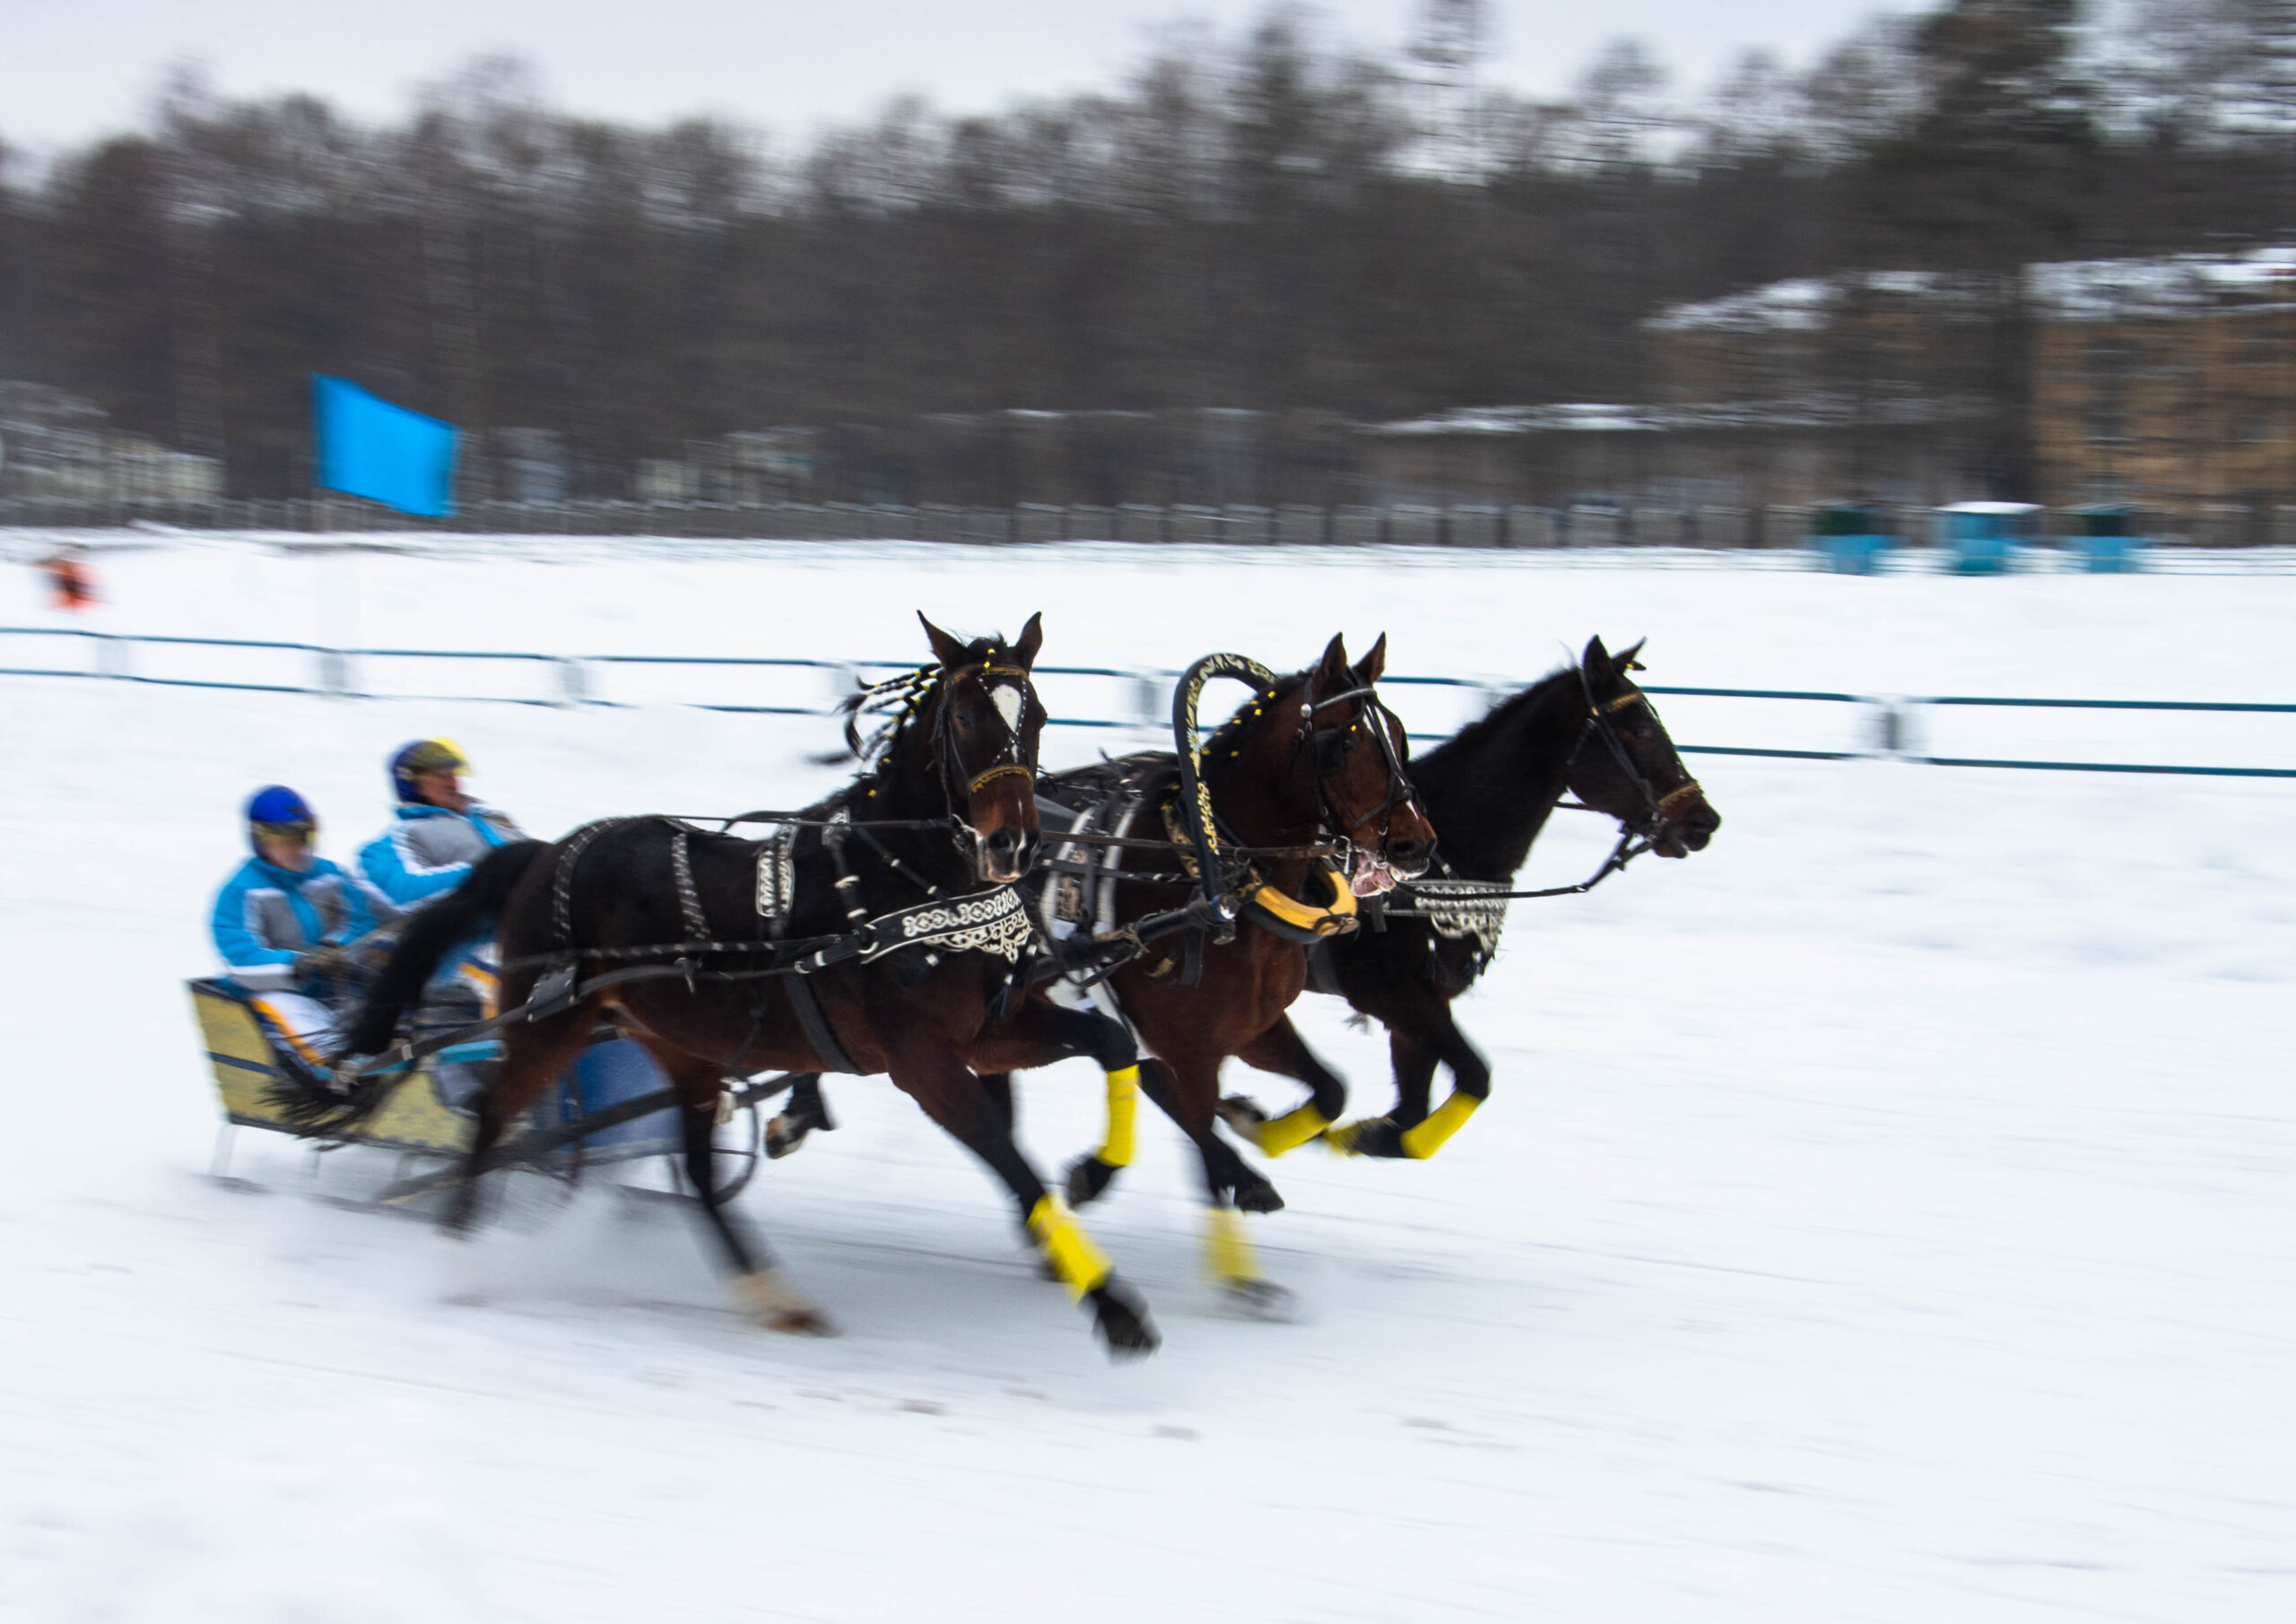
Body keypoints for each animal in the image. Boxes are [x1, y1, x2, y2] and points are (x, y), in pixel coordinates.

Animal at [333, 615, 1166, 1368]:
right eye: (964, 716)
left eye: (1038, 714)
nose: (1013, 842)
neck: (900, 880)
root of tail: (544, 851)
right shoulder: (924, 1063)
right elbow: (1009, 1161)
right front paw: (1114, 1305)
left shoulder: (991, 1031)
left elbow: (1112, 1042)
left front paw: (1097, 1170)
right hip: (549, 1024)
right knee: (490, 1121)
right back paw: (456, 1254)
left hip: (685, 1046)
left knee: (701, 1175)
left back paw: (772, 1294)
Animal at [1221, 633, 1726, 1158]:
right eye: (1642, 730)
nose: (1703, 820)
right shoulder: (1391, 994)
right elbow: (1470, 1078)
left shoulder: (1418, 1009)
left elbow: (1410, 1112)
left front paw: (1352, 1134)